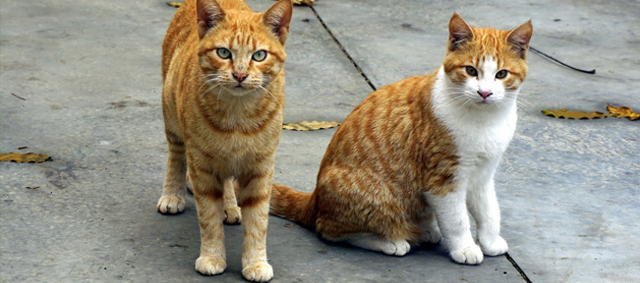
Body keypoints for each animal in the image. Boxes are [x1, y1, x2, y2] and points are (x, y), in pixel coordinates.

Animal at [158, 0, 292, 282]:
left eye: (259, 56)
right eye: (223, 53)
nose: (240, 75)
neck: (237, 117)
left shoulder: (261, 169)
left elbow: (258, 223)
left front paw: (255, 262)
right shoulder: (203, 168)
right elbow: (208, 219)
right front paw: (212, 257)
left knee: (228, 180)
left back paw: (230, 205)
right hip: (172, 116)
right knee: (176, 156)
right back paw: (172, 194)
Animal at [268, 12, 532, 266]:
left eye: (501, 74)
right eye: (470, 70)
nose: (484, 93)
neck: (485, 119)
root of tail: (314, 200)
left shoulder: (483, 175)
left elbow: (489, 212)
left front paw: (489, 242)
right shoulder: (443, 180)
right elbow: (457, 220)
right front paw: (465, 248)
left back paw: (425, 230)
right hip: (377, 198)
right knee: (330, 230)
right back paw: (391, 242)